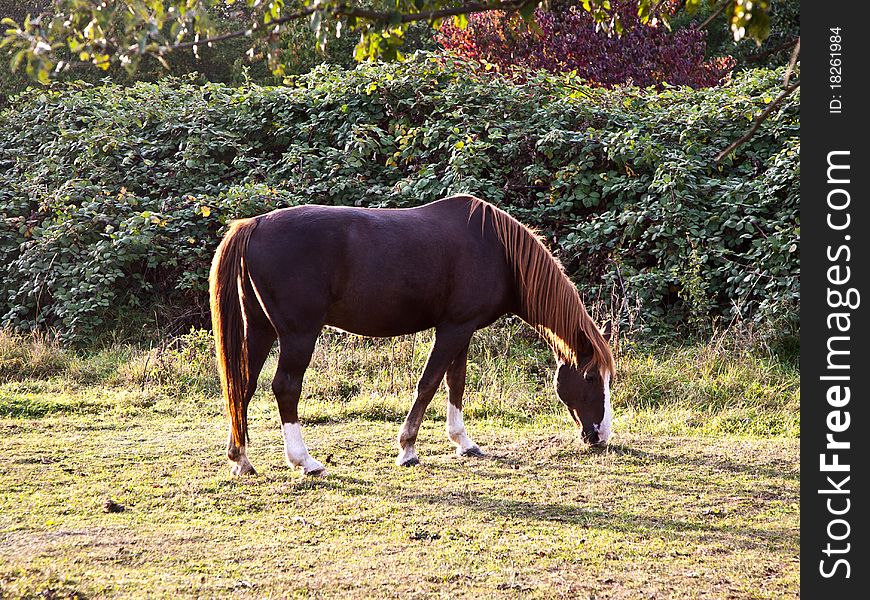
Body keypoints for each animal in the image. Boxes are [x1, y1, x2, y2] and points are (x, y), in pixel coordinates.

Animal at [211, 195, 616, 476]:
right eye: (591, 378)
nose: (601, 437)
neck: (498, 251)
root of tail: (253, 224)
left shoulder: (462, 329)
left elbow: (456, 383)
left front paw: (463, 442)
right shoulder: (453, 329)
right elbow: (430, 383)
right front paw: (407, 449)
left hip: (260, 329)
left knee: (242, 385)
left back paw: (241, 459)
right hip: (298, 335)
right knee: (285, 387)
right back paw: (304, 461)